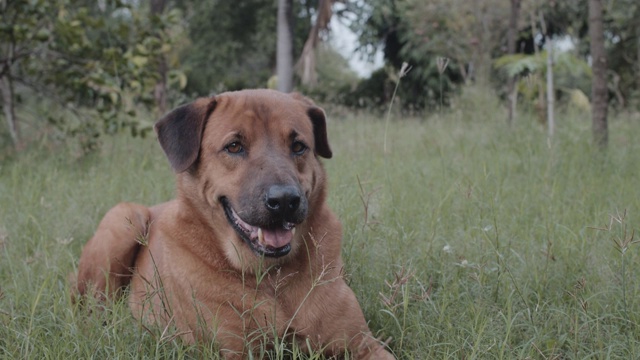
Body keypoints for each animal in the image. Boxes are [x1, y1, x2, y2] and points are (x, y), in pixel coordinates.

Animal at [75, 89, 396, 358]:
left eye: (298, 146)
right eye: (234, 146)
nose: (284, 200)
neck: (272, 278)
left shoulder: (364, 345)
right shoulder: (232, 351)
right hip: (125, 220)